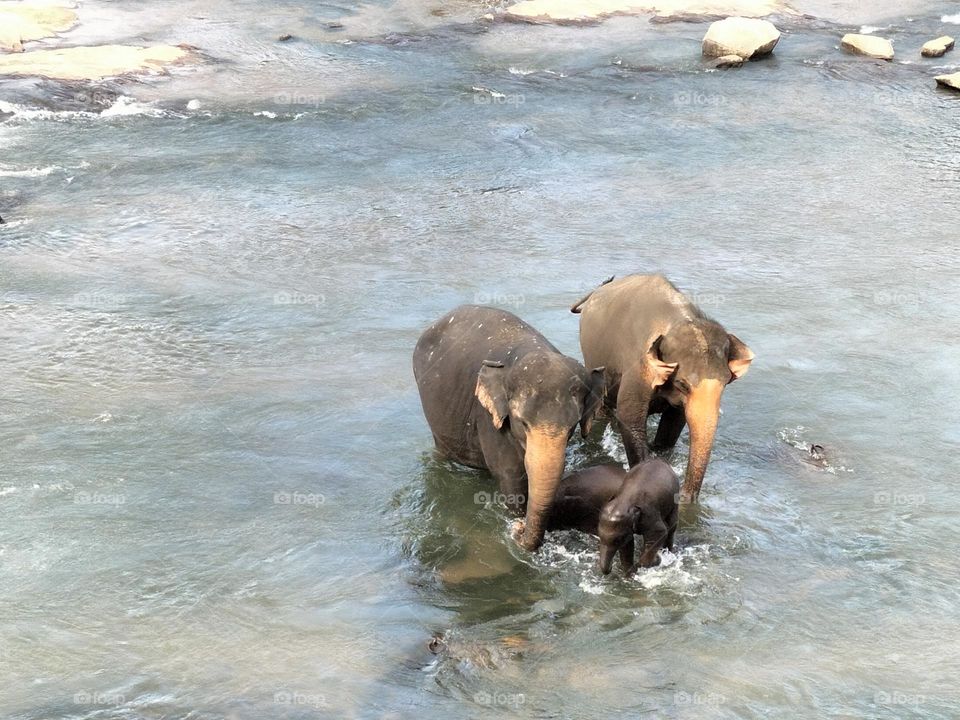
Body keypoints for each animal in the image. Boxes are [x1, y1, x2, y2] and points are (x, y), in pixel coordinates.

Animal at [547, 460, 679, 575]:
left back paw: (668, 552)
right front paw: (630, 572)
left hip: (674, 500)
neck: (623, 501)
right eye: (599, 536)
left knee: (671, 526)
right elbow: (628, 544)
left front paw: (656, 560)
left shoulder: (649, 514)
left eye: (617, 540)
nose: (609, 569)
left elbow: (660, 532)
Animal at [572, 274, 754, 502]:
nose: (683, 496)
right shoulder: (637, 367)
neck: (674, 321)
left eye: (725, 383)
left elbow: (674, 423)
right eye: (682, 384)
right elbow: (630, 418)